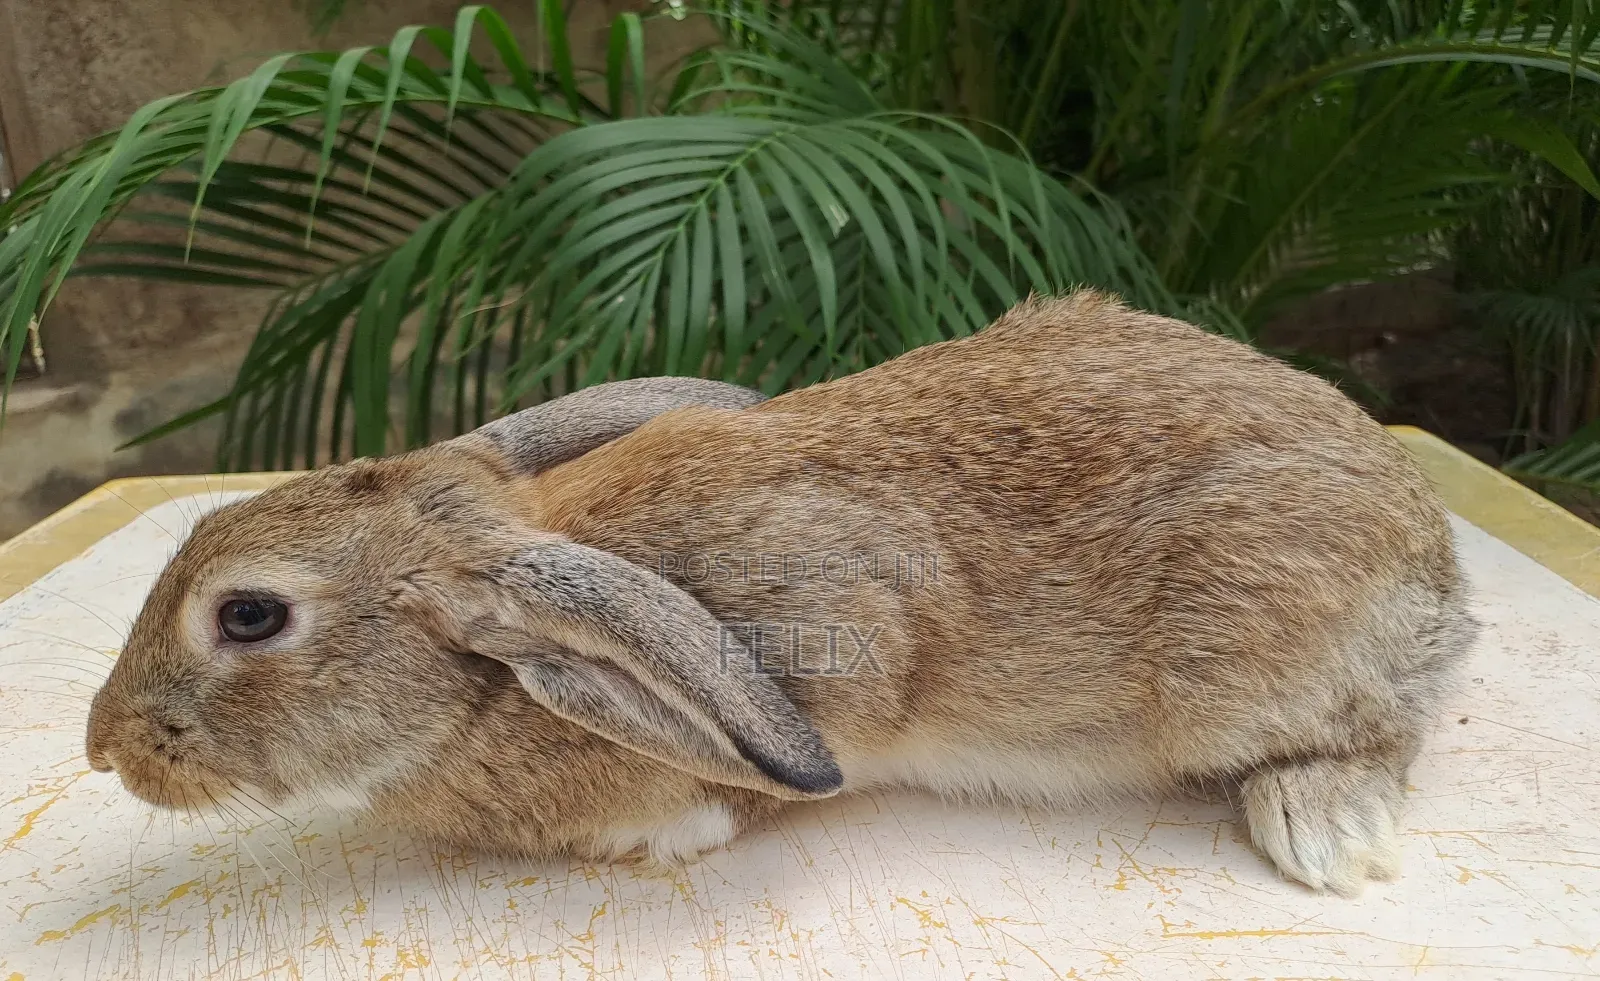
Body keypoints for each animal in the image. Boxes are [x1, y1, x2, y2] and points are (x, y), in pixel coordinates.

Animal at [85, 290, 1475, 897]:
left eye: (249, 615)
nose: (104, 749)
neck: (484, 686)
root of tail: (1431, 554)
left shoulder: (835, 641)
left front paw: (666, 832)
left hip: (1245, 652)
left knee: (1376, 728)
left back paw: (1322, 826)